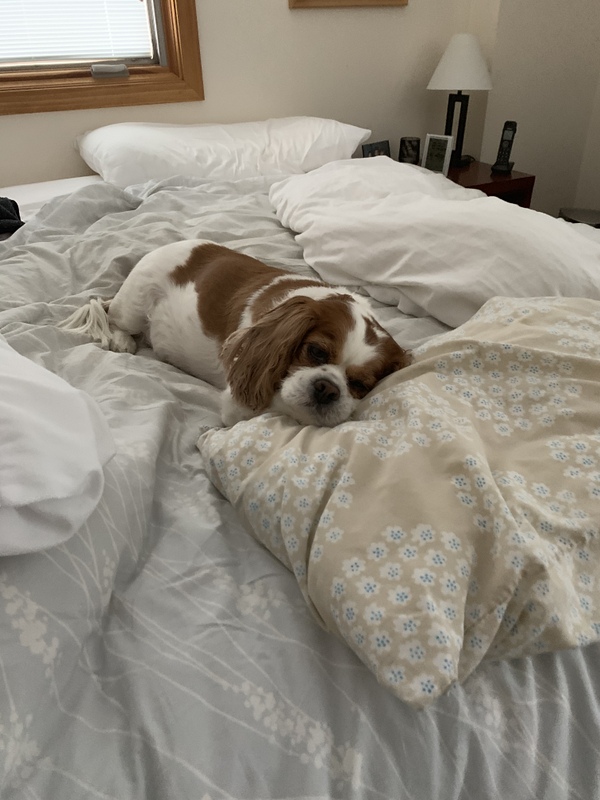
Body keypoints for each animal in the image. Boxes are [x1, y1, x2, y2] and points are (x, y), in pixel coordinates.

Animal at [61, 240, 411, 426]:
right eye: (315, 351)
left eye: (360, 384)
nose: (326, 389)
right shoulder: (240, 404)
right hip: (134, 304)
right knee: (116, 319)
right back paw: (122, 340)